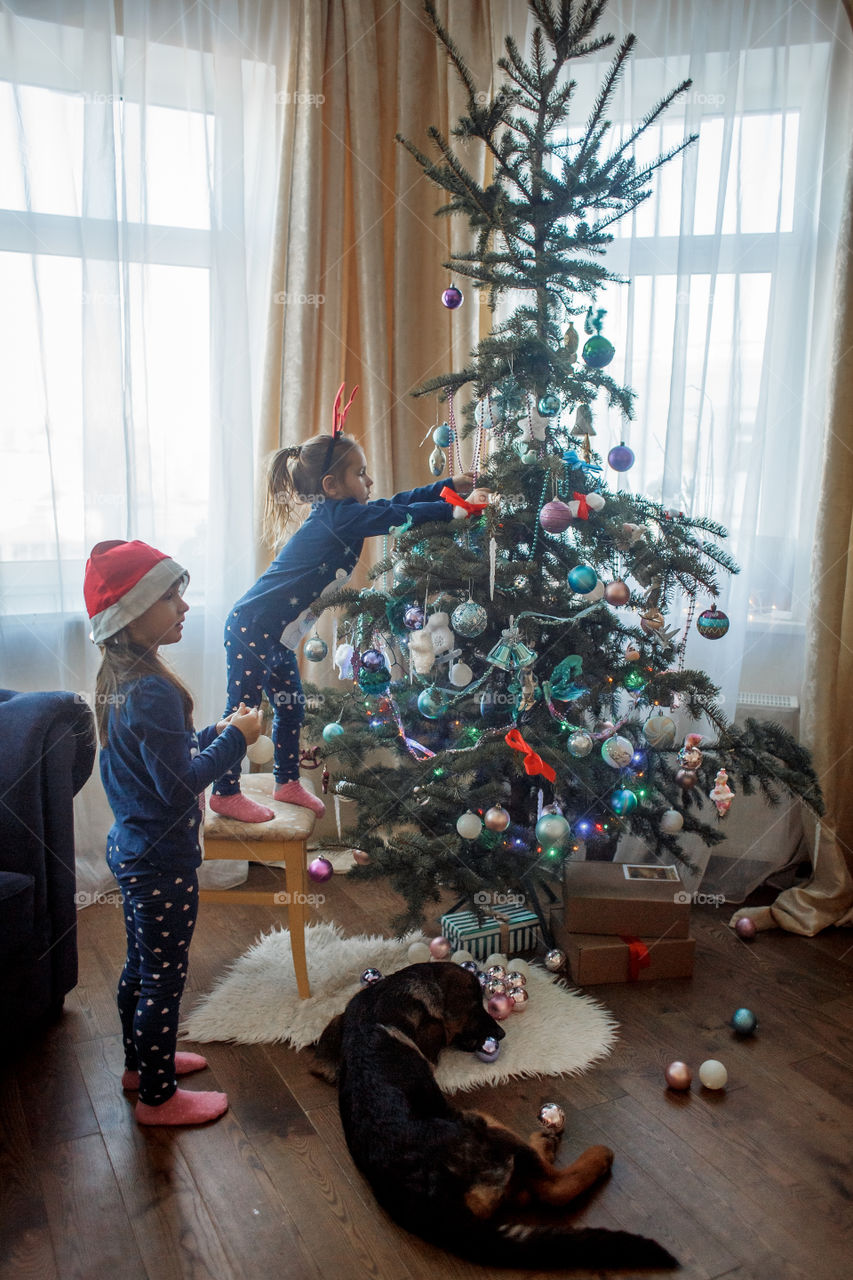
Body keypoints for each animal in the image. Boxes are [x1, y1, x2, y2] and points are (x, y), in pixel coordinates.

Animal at [308, 962, 676, 1269]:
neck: (375, 1010)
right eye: (475, 1008)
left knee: (527, 1191)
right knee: (554, 1187)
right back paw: (588, 1153)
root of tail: (434, 1201)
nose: (500, 1035)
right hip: (484, 1124)